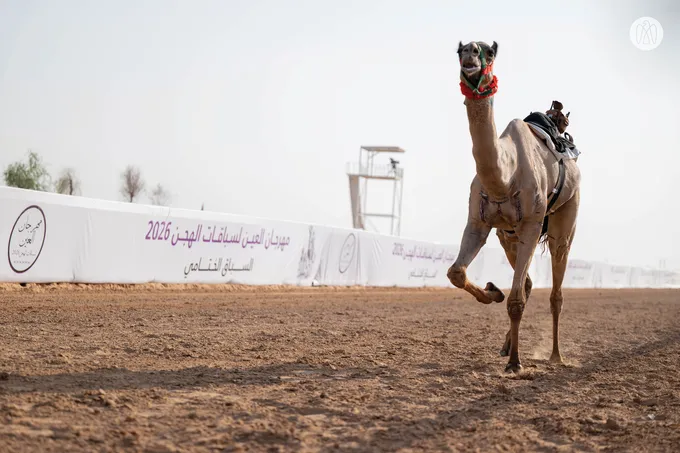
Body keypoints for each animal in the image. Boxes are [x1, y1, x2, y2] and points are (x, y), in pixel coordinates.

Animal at [447, 40, 581, 373]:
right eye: (460, 50)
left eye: (489, 51)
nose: (470, 54)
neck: (504, 178)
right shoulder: (479, 223)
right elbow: (456, 273)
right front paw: (493, 292)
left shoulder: (531, 224)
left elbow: (516, 301)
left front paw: (516, 364)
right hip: (507, 235)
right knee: (529, 283)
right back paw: (507, 345)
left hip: (563, 219)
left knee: (556, 290)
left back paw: (555, 355)